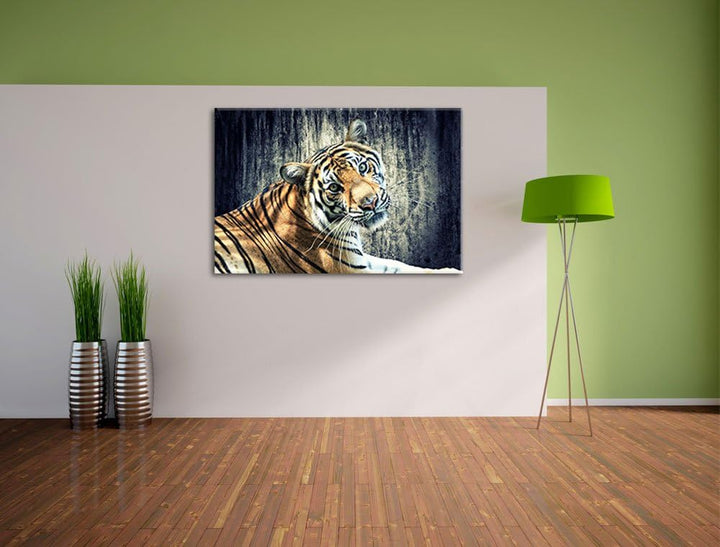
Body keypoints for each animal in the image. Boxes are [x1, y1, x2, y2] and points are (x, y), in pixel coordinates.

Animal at [214, 119, 460, 274]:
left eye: (362, 167)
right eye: (334, 187)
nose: (370, 202)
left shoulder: (362, 260)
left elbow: (399, 265)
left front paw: (449, 269)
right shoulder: (350, 269)